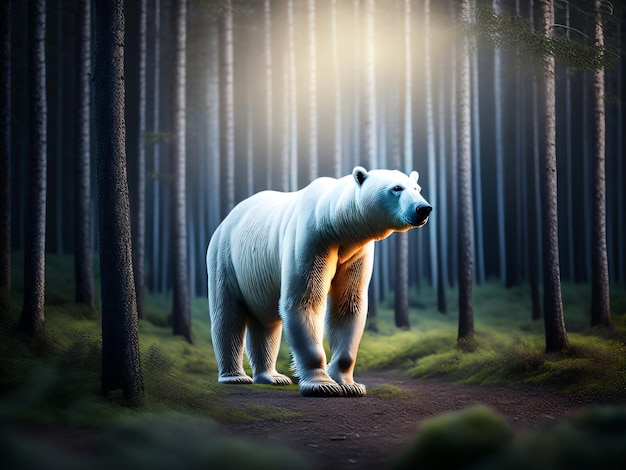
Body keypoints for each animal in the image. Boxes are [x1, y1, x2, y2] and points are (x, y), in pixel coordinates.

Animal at [207, 166, 432, 396]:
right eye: (397, 188)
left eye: (417, 188)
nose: (424, 209)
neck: (335, 222)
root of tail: (227, 219)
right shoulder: (312, 240)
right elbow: (305, 300)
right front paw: (322, 384)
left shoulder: (356, 253)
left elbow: (348, 305)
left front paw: (349, 384)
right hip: (225, 259)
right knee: (228, 316)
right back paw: (235, 376)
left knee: (266, 323)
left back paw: (273, 377)